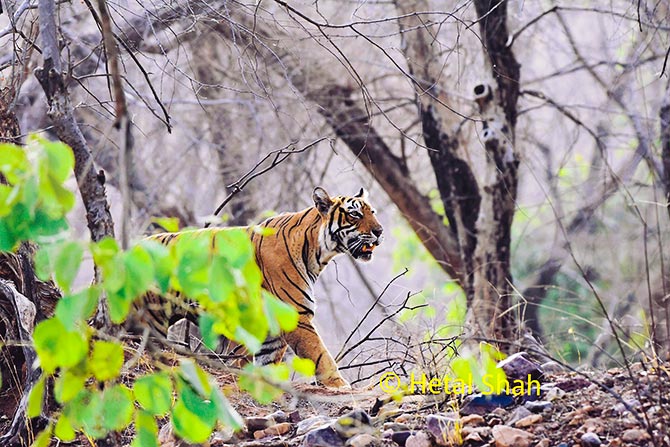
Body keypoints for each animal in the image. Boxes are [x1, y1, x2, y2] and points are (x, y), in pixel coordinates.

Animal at [133, 187, 384, 386]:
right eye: (355, 214)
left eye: (373, 212)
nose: (380, 231)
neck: (317, 252)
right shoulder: (295, 315)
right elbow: (320, 355)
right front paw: (339, 385)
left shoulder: (271, 327)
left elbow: (267, 362)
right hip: (151, 321)